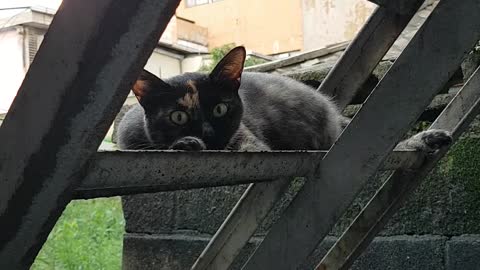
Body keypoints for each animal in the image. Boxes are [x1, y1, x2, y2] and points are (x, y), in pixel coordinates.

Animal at [115, 46, 450, 154]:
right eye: (178, 116)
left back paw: (428, 138)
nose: (208, 134)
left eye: (221, 108)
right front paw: (186, 142)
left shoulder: (249, 142)